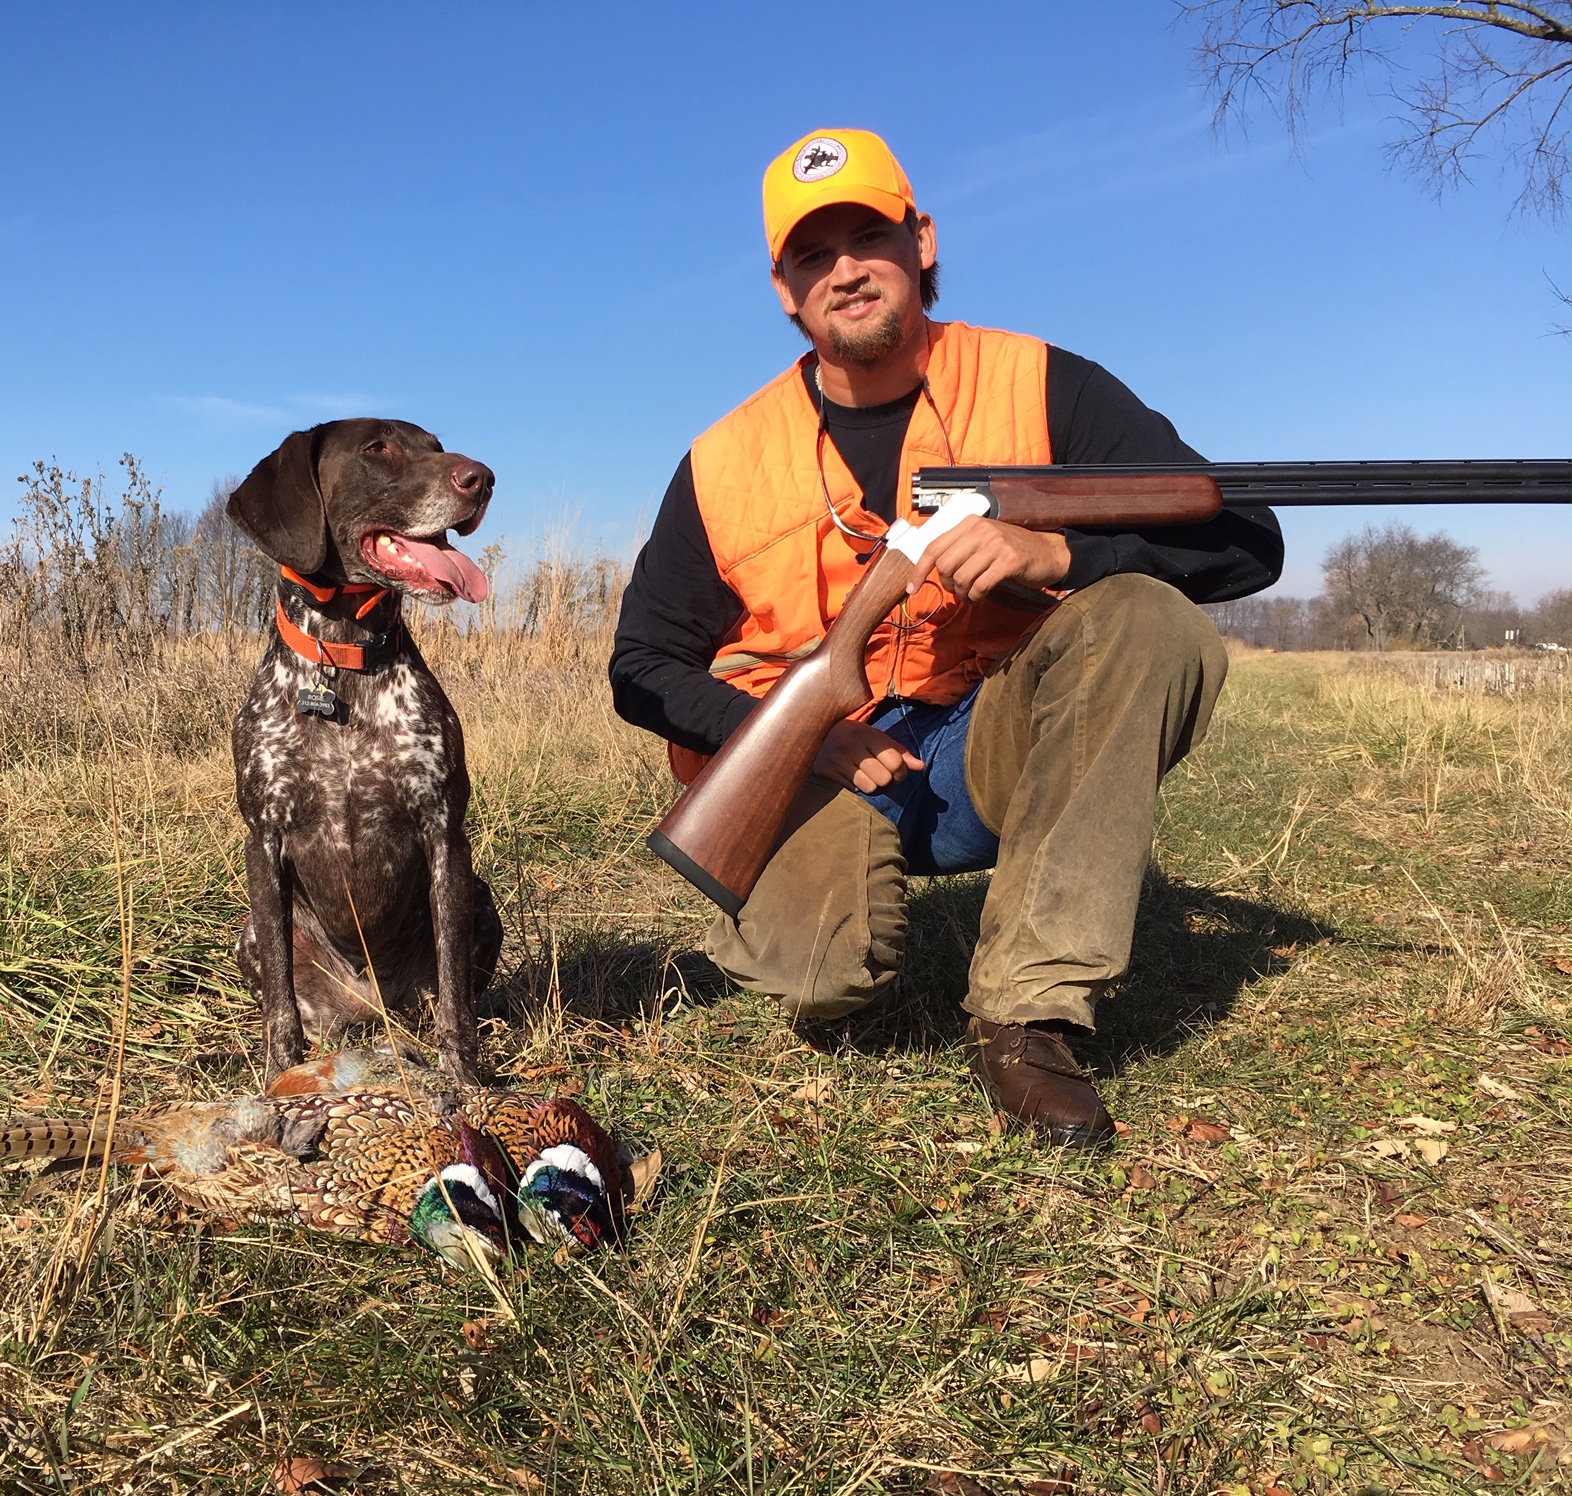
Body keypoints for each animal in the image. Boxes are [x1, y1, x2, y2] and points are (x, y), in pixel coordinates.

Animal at [227, 414, 503, 1081]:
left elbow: (456, 996)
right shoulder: (264, 838)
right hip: (249, 934)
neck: (343, 658)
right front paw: (277, 1077)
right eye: (378, 448)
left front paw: (464, 1079)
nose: (482, 479)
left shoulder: (444, 834)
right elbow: (279, 1006)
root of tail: (368, 1008)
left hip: (482, 902)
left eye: (436, 446)